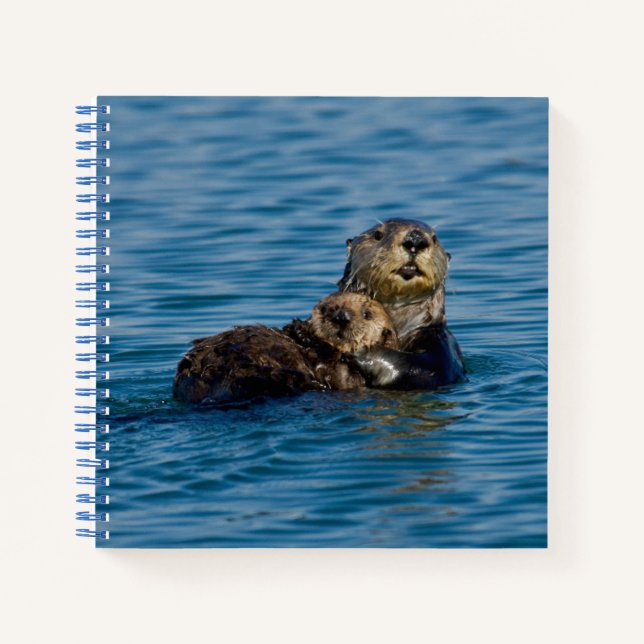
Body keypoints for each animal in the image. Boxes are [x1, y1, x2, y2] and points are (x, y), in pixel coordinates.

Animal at [173, 292, 398, 404]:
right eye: (326, 308)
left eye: (367, 314)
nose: (341, 316)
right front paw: (298, 328)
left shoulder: (349, 377)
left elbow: (340, 376)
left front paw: (304, 333)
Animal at [338, 218, 465, 390]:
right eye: (378, 235)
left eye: (435, 238)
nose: (416, 239)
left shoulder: (443, 345)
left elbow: (424, 369)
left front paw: (359, 349)